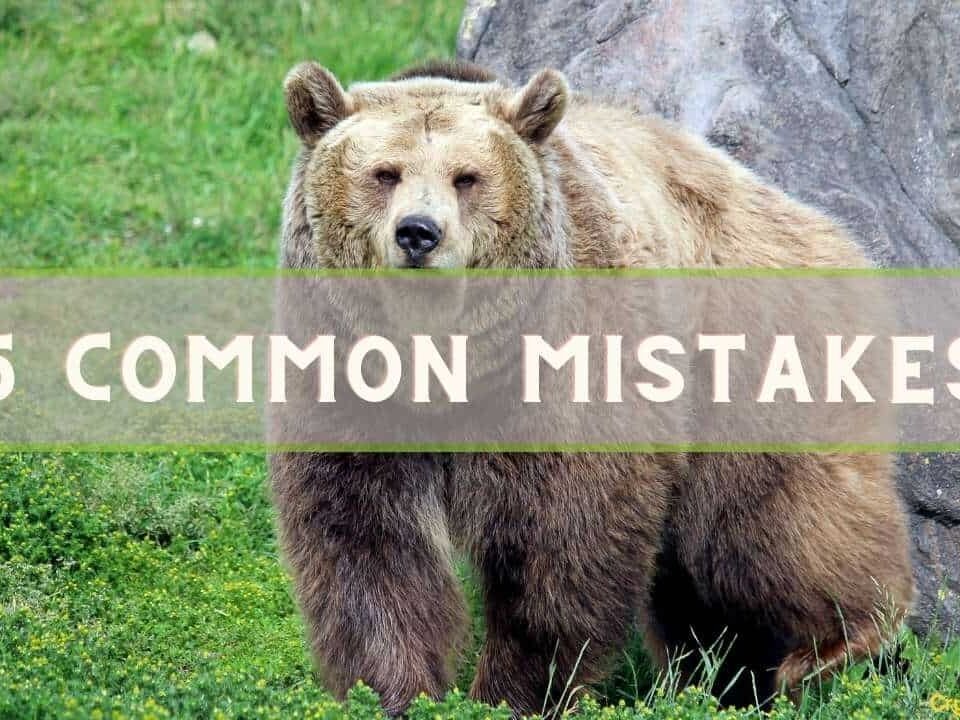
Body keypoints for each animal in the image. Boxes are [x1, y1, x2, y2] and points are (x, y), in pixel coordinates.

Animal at [271, 59, 914, 714]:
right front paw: (393, 691)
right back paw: (721, 677)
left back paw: (834, 646)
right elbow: (367, 542)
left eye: (467, 178)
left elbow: (563, 536)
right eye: (385, 173)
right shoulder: (347, 377)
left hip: (750, 353)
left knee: (770, 524)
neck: (447, 360)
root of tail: (822, 224)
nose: (418, 233)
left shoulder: (563, 368)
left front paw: (516, 692)